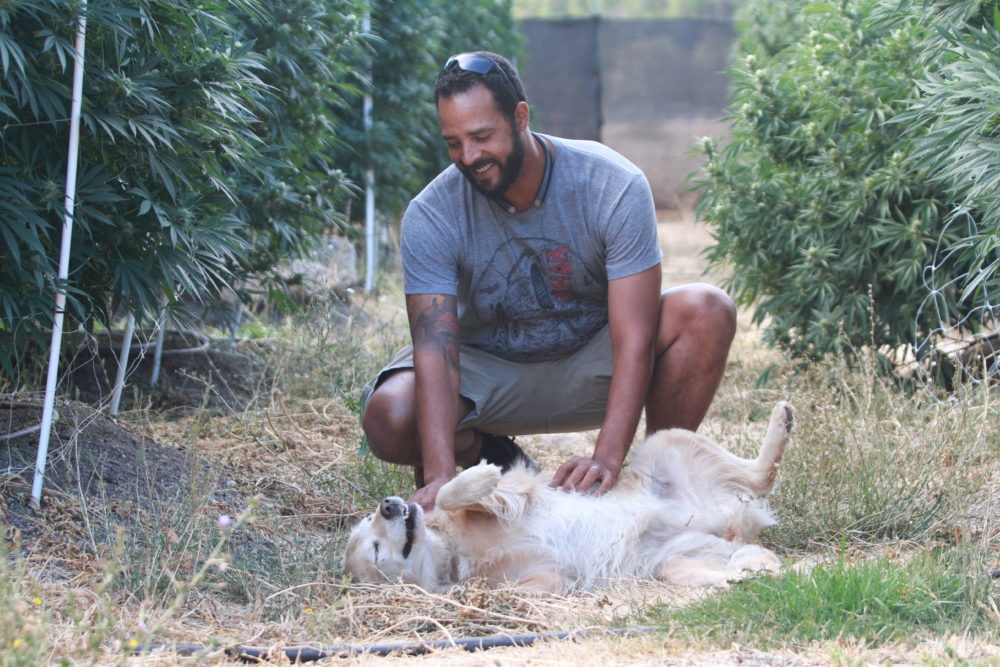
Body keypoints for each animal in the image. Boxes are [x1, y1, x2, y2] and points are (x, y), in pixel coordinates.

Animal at [348, 402, 792, 596]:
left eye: (368, 522)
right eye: (375, 550)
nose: (388, 505)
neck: (455, 552)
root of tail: (728, 524)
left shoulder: (519, 492)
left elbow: (451, 493)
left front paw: (479, 476)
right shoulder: (543, 579)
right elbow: (512, 591)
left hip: (664, 443)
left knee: (760, 474)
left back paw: (782, 420)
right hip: (672, 565)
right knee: (754, 561)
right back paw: (754, 571)